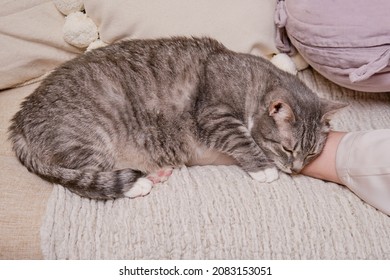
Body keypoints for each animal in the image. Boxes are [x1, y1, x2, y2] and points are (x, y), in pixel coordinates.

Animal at [8, 36, 344, 199]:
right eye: (287, 148)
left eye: (311, 153)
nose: (295, 170)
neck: (251, 83)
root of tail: (19, 121)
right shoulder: (214, 115)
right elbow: (243, 140)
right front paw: (264, 169)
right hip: (87, 137)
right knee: (81, 180)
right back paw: (138, 185)